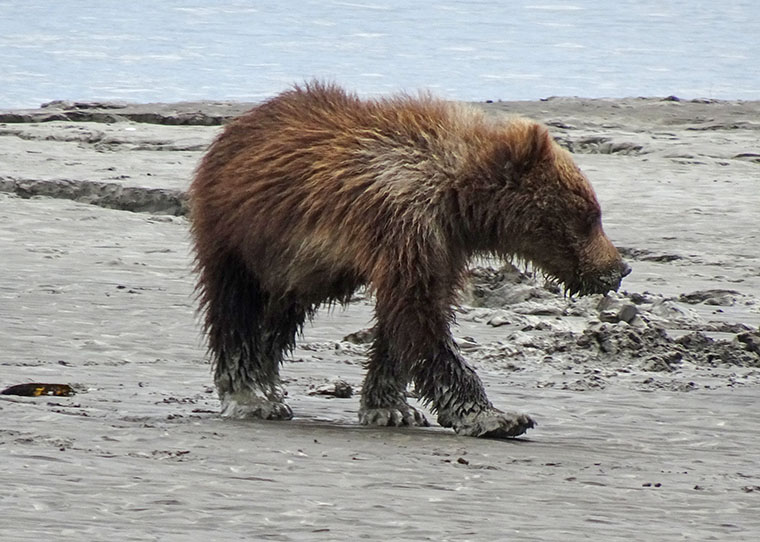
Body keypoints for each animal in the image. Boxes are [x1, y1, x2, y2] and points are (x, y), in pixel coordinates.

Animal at [189, 83, 628, 440]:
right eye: (589, 216)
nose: (619, 269)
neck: (459, 197)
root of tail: (238, 125)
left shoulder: (443, 245)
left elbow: (408, 317)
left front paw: (390, 408)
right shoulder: (405, 224)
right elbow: (419, 316)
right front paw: (496, 417)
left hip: (300, 264)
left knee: (279, 316)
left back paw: (266, 382)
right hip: (239, 235)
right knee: (238, 308)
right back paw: (251, 394)